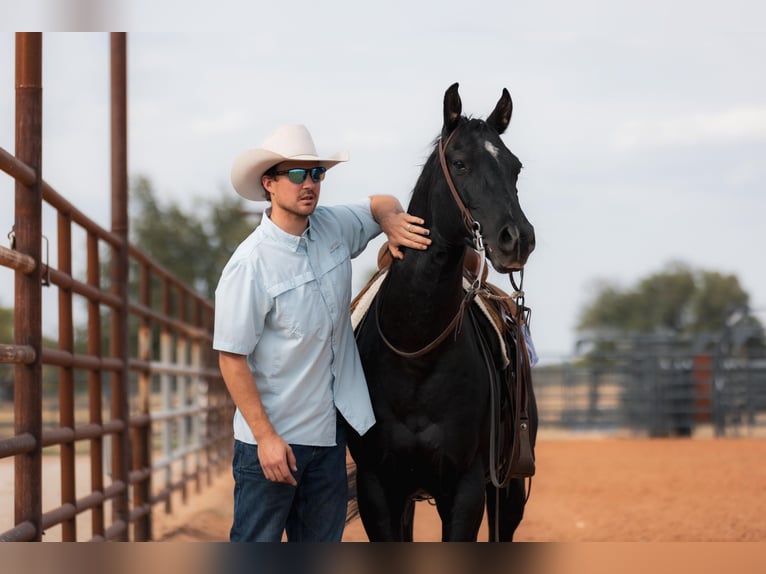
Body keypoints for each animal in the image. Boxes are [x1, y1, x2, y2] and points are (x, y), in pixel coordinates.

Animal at [350, 83, 540, 544]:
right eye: (460, 163)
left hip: (508, 489)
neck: (415, 352)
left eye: (515, 167)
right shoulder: (377, 488)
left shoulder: (467, 487)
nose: (517, 239)